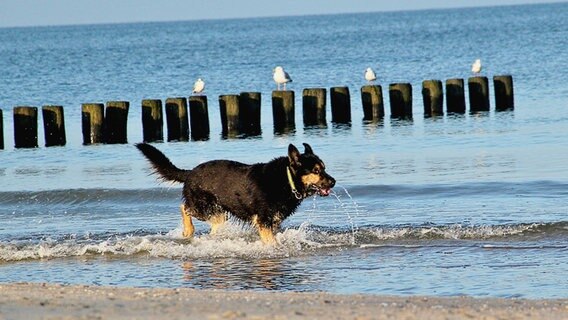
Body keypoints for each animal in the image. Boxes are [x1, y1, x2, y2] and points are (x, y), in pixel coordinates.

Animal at [136, 141, 336, 244]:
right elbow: (271, 241)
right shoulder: (264, 221)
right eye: (316, 171)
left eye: (324, 168)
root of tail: (190, 172)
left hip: (219, 214)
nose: (334, 182)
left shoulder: (273, 222)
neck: (286, 179)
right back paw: (188, 230)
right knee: (184, 207)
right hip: (206, 208)